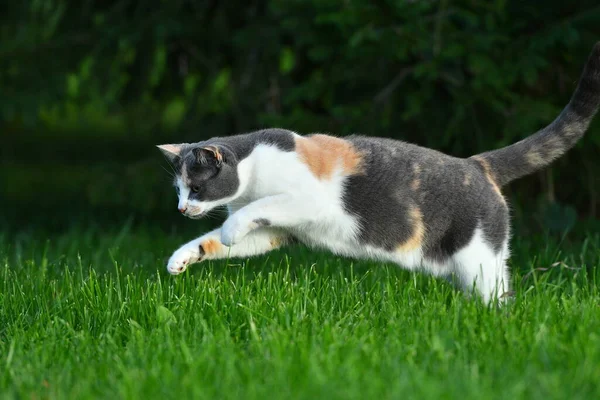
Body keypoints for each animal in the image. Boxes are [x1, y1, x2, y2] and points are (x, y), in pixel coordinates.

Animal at [157, 41, 596, 304]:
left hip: (477, 258)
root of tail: (477, 163)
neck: (253, 173)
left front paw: (230, 230)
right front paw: (182, 258)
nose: (180, 209)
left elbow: (245, 218)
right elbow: (216, 240)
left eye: (196, 188)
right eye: (178, 190)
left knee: (495, 297)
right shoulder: (277, 230)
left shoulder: (305, 201)